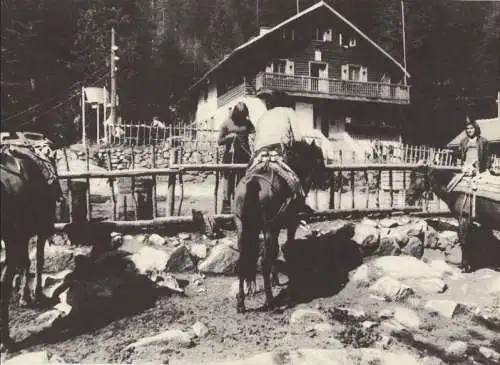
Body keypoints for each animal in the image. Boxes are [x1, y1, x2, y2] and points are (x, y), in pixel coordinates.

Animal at [0, 146, 59, 350]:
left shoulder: (24, 233)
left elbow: (26, 261)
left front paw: (25, 297)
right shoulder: (39, 229)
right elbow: (38, 259)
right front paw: (36, 293)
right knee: (5, 280)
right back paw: (6, 340)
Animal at [233, 139, 324, 310]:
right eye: (319, 158)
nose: (325, 179)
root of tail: (253, 183)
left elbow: (274, 252)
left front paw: (275, 279)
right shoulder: (289, 223)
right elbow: (283, 246)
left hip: (242, 227)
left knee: (243, 260)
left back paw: (241, 302)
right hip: (268, 227)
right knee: (264, 261)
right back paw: (269, 300)